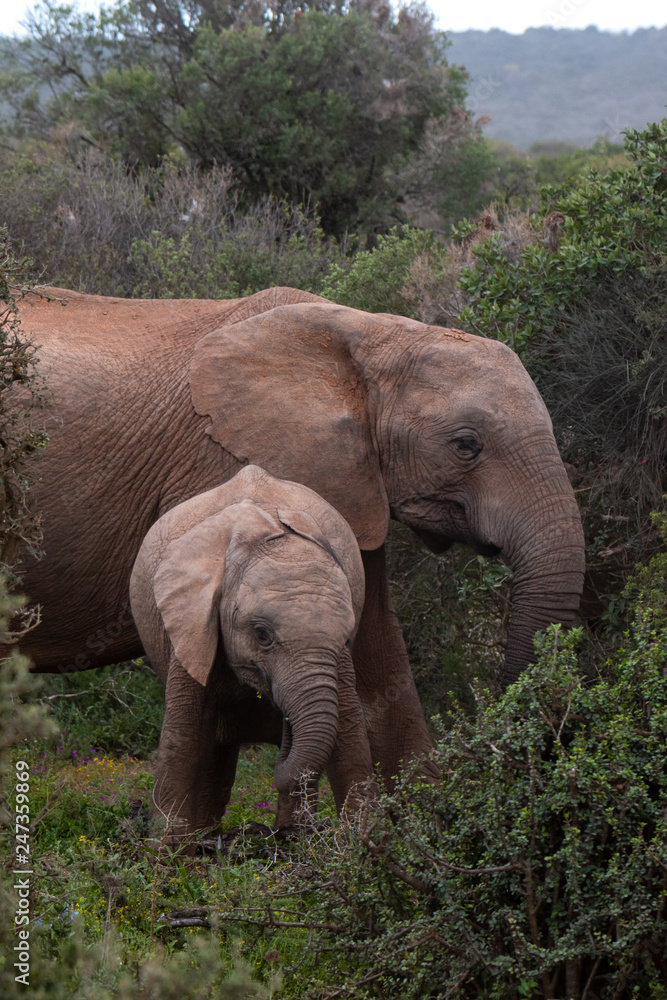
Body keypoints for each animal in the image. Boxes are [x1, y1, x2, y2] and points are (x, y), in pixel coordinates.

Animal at [129, 464, 373, 838]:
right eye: (262, 635)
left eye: (346, 637)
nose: (286, 724)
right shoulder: (192, 624)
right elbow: (182, 737)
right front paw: (168, 852)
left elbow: (349, 730)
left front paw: (362, 844)